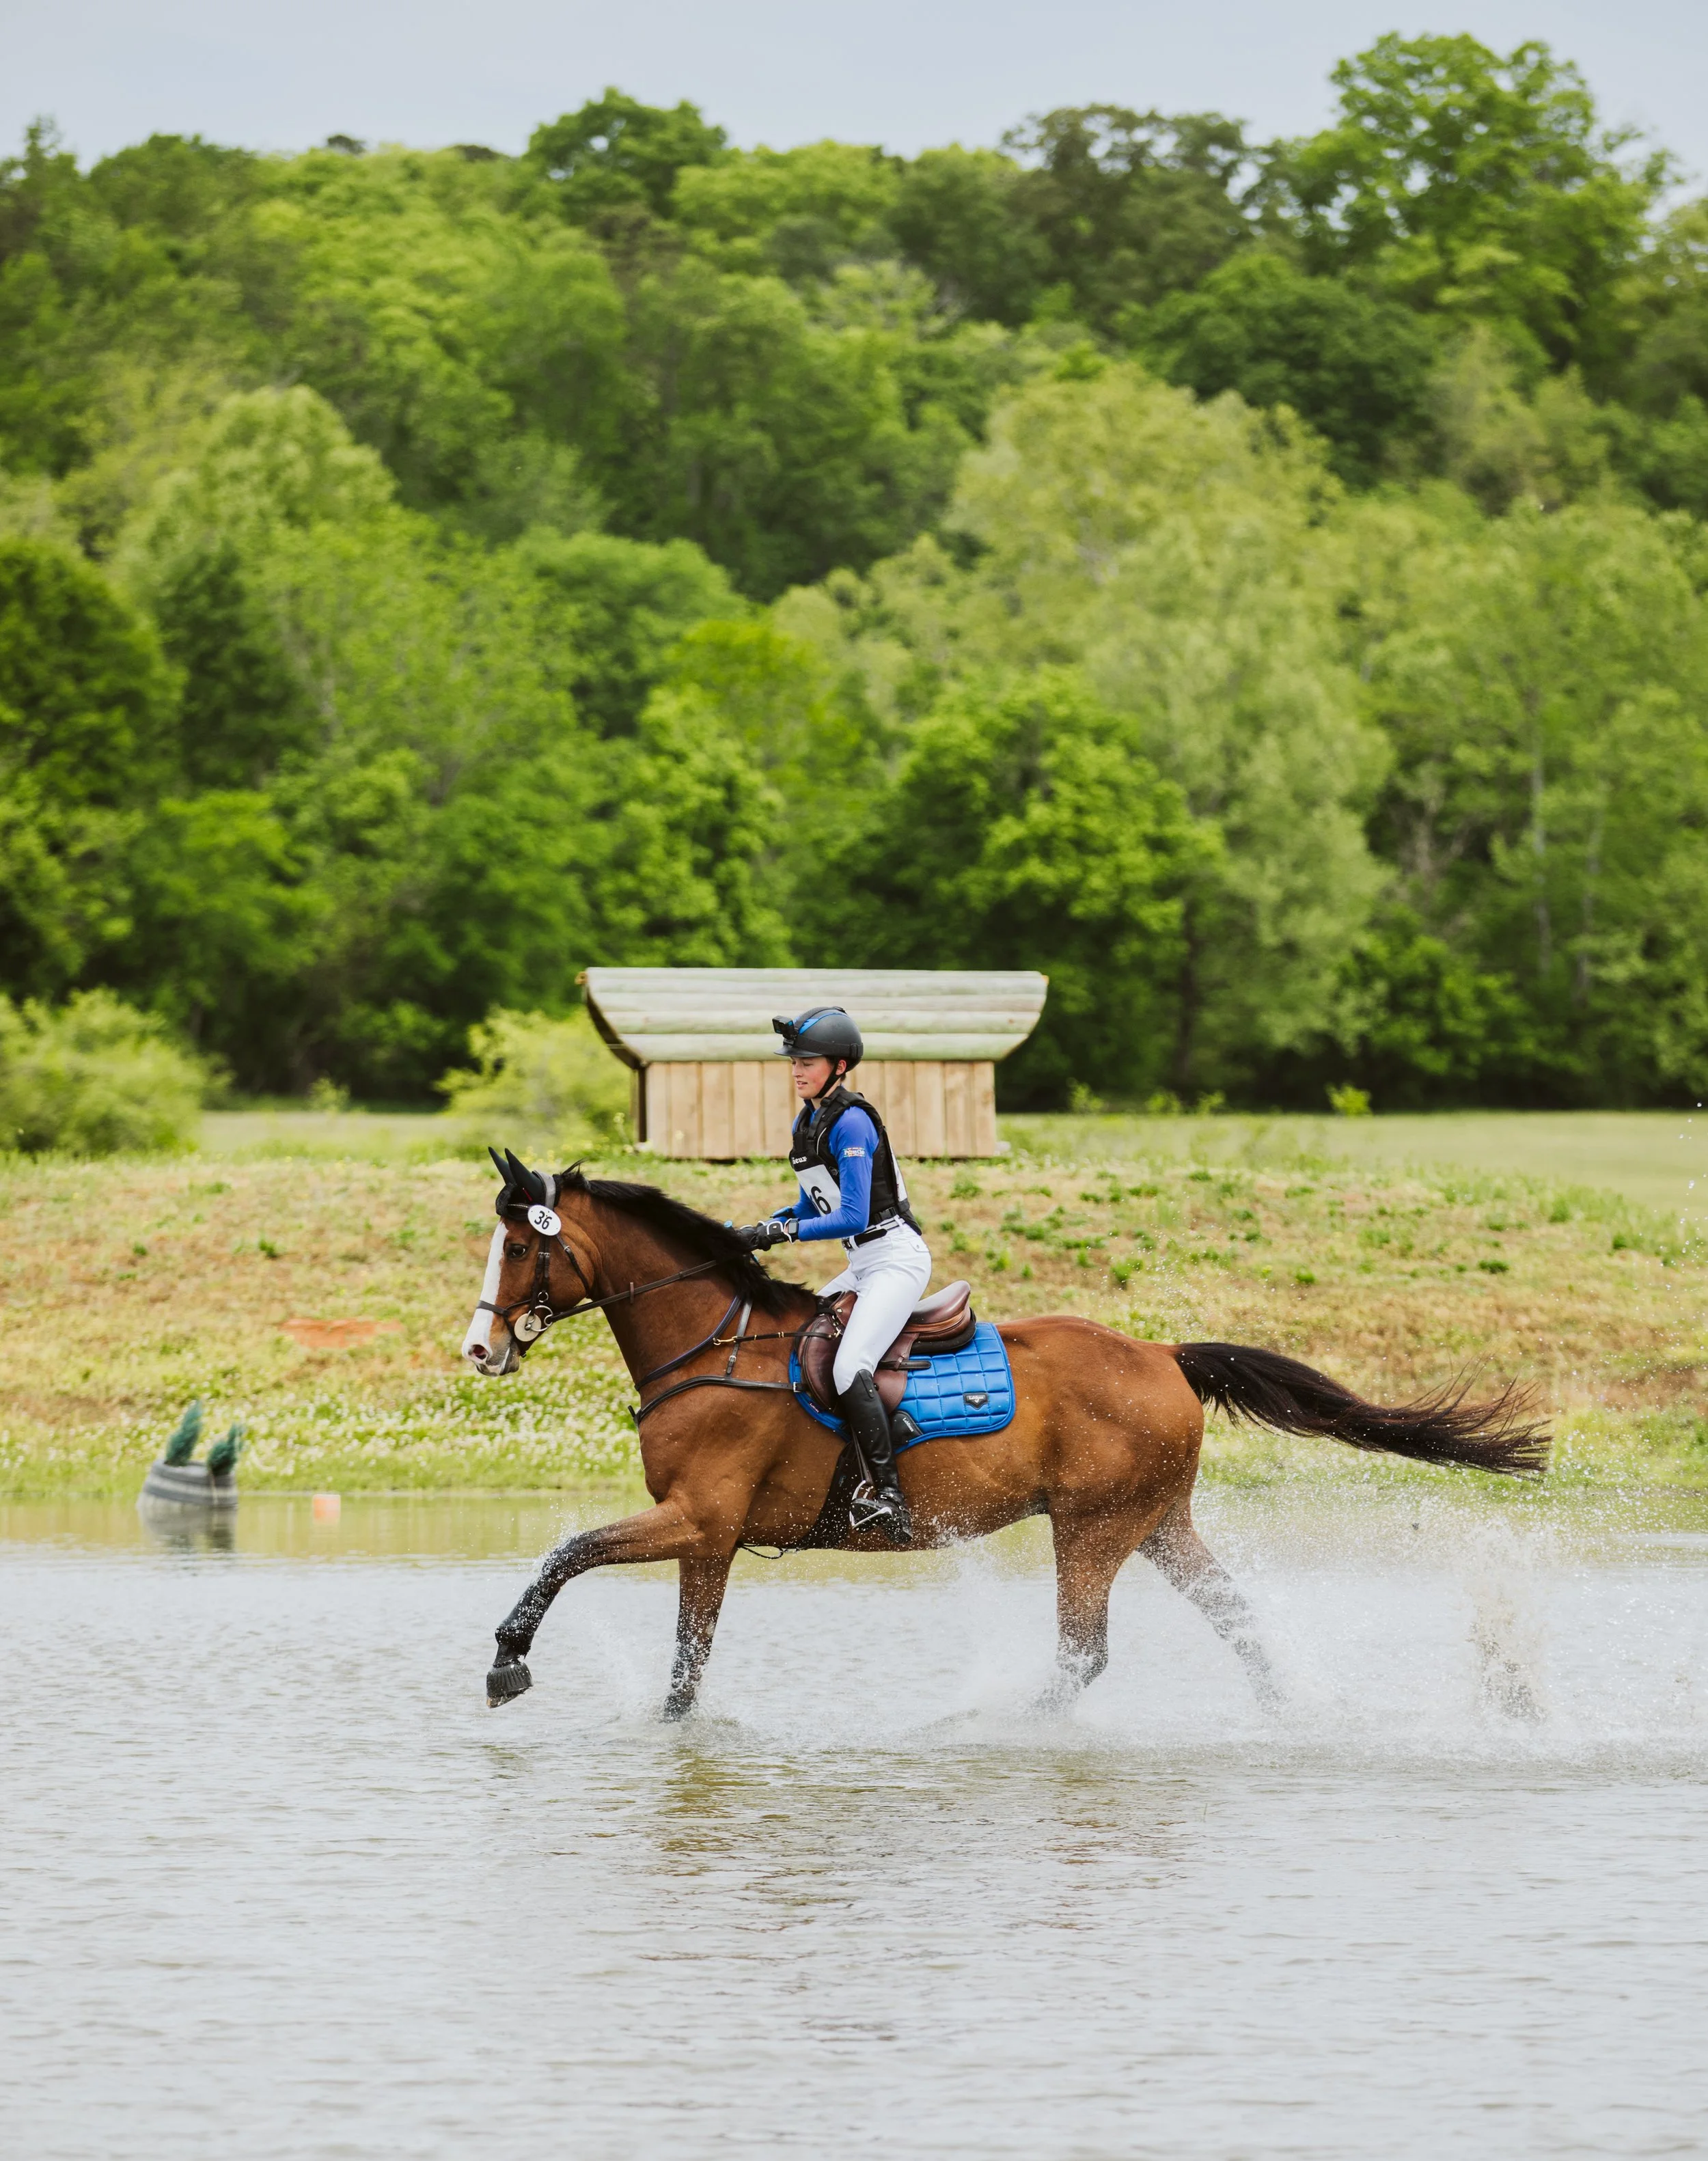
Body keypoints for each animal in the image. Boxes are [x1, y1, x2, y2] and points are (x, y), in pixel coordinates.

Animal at [464, 1153, 1549, 1716]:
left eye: (519, 1244)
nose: (481, 1347)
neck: (711, 1341)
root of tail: (1163, 1354)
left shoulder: (696, 1518)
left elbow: (567, 1551)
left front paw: (508, 1658)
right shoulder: (709, 1538)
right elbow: (687, 1667)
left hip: (1092, 1529)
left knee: (1082, 1654)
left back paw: (991, 1724)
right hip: (1157, 1524)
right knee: (1236, 1623)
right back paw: (1290, 1713)